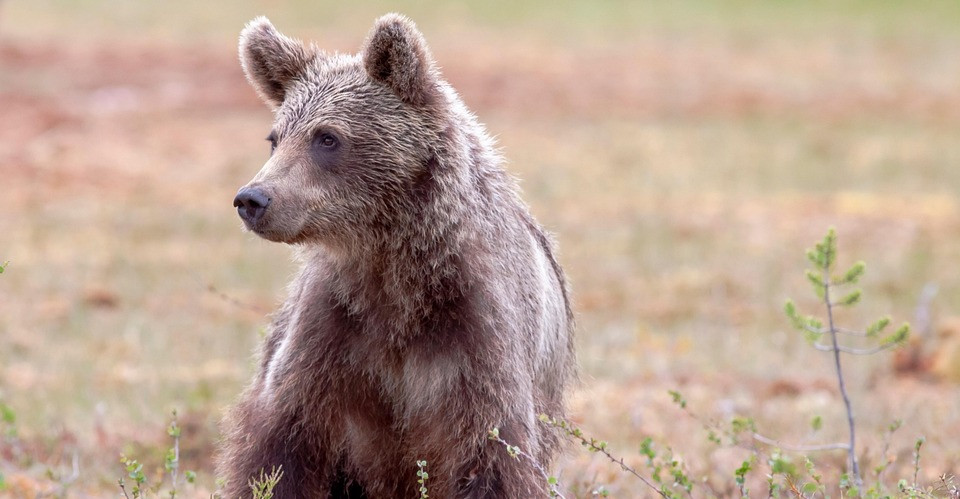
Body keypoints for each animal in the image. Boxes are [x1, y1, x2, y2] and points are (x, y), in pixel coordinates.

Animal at [221, 12, 572, 499]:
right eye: (275, 138)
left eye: (326, 137)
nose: (253, 199)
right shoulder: (331, 335)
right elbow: (279, 450)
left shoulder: (476, 338)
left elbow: (494, 458)